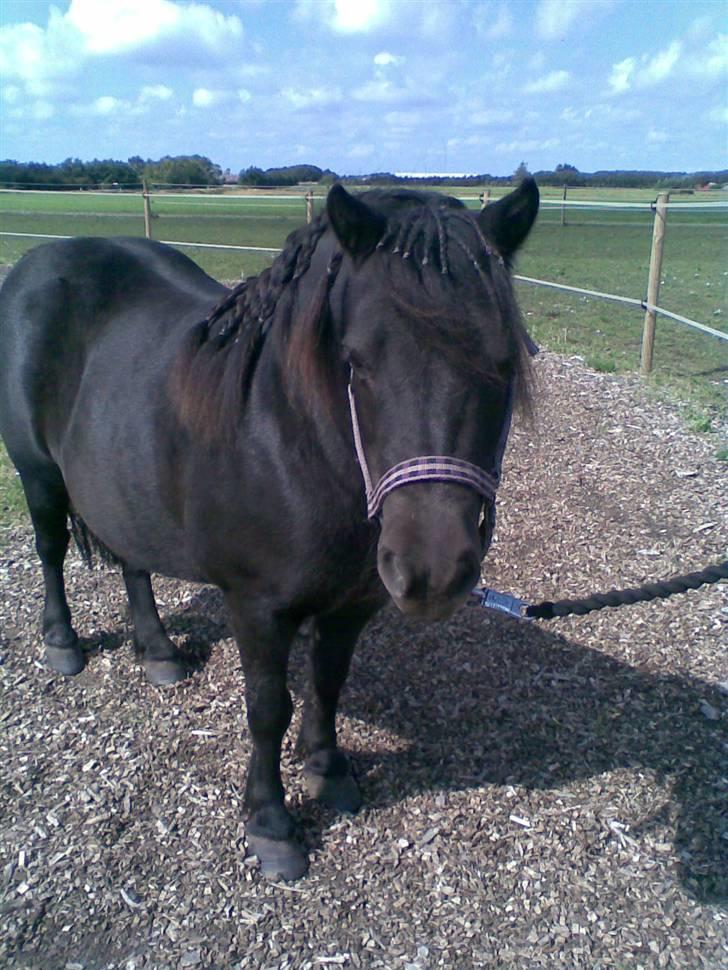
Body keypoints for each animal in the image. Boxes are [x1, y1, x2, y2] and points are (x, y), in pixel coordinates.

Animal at [1, 180, 540, 876]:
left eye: (504, 363)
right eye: (356, 360)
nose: (432, 570)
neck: (289, 438)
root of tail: (38, 264)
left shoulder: (352, 604)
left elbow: (328, 682)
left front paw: (328, 771)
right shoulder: (256, 606)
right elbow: (267, 709)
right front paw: (271, 824)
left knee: (133, 560)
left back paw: (159, 652)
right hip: (37, 472)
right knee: (50, 549)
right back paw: (63, 643)